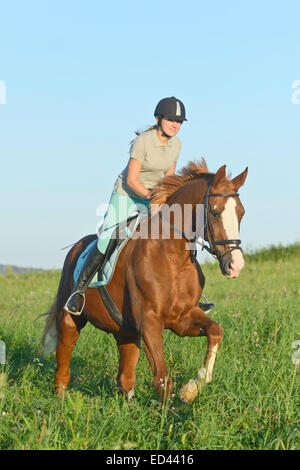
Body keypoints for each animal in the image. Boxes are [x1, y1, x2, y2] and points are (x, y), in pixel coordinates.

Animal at [42, 160, 248, 402]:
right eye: (215, 212)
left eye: (241, 213)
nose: (235, 265)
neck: (173, 257)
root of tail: (75, 248)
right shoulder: (149, 321)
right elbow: (162, 378)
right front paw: (171, 410)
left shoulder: (182, 318)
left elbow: (216, 331)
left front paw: (192, 388)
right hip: (70, 317)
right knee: (64, 356)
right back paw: (61, 399)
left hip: (126, 332)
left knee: (124, 377)